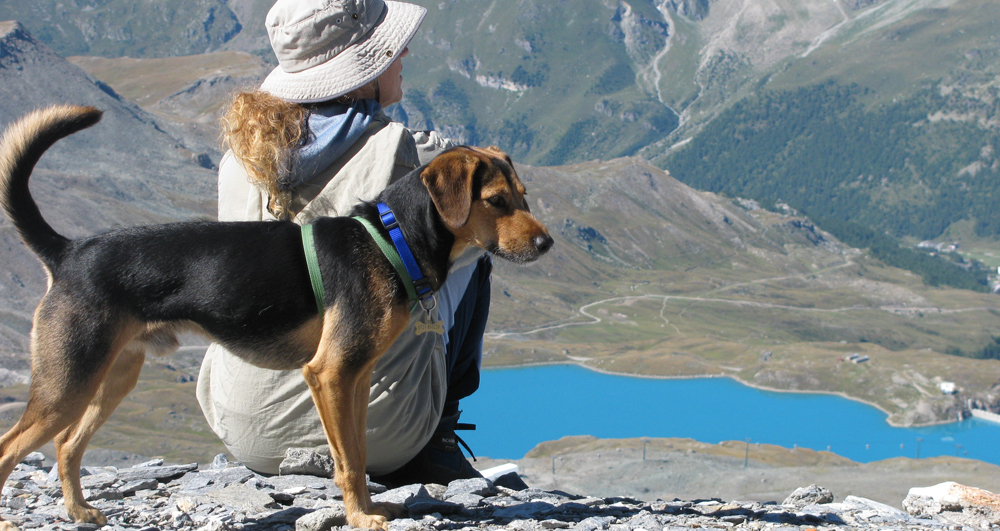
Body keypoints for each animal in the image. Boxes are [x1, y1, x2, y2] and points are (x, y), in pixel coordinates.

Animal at [0, 105, 552, 531]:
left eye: (524, 194)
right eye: (496, 201)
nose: (546, 243)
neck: (391, 238)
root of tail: (69, 251)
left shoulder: (355, 377)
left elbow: (356, 452)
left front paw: (371, 508)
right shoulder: (329, 374)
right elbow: (348, 462)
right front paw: (359, 517)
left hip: (113, 376)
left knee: (67, 445)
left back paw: (79, 511)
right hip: (67, 382)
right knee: (11, 448)